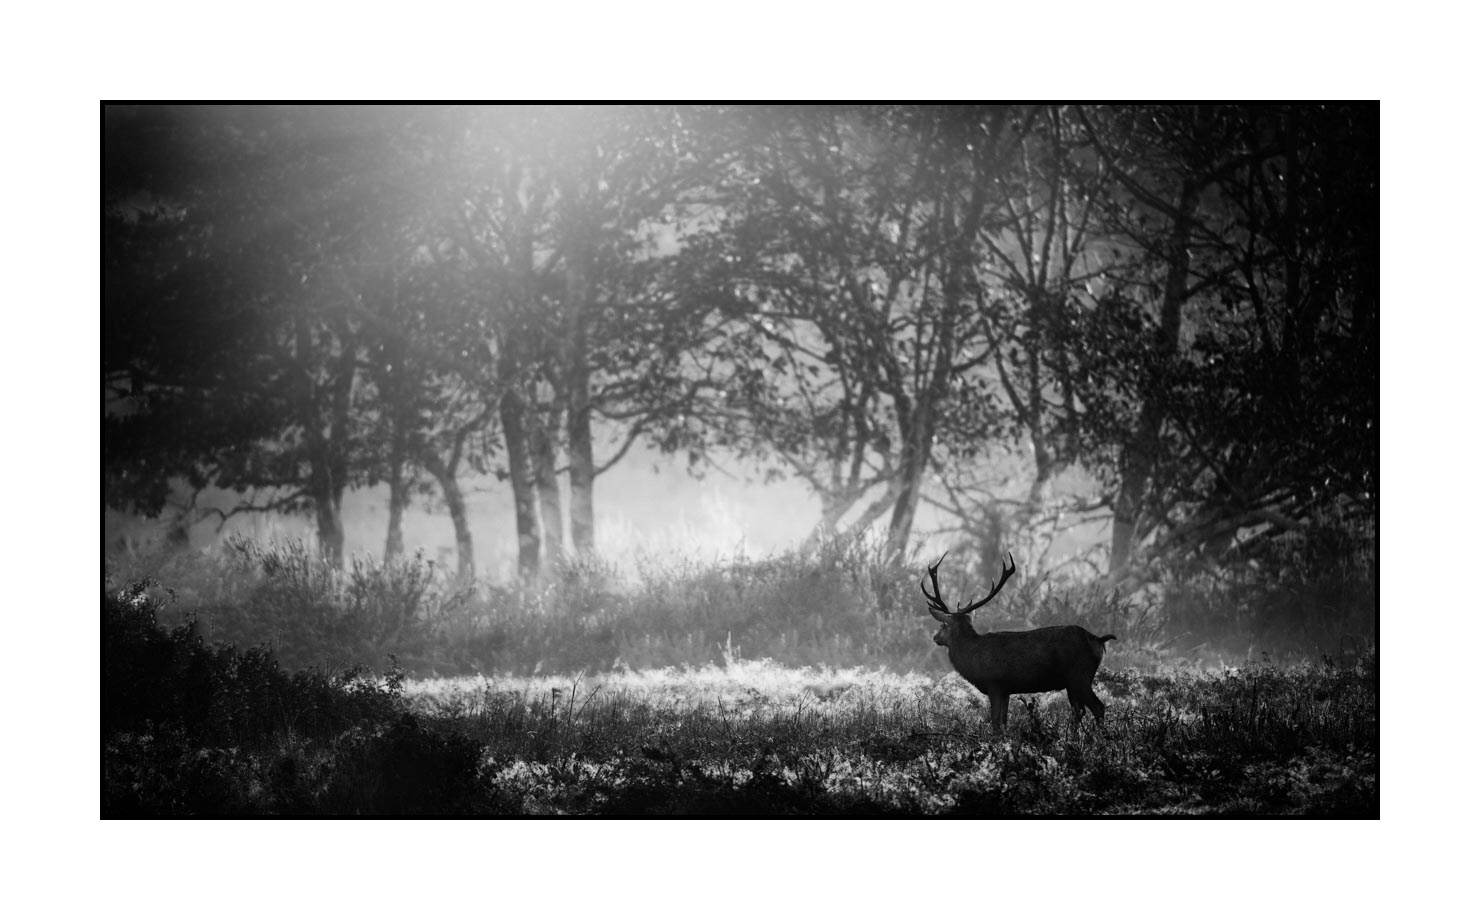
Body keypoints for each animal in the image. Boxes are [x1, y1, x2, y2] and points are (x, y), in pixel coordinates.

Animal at [922, 552, 1116, 731]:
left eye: (943, 625)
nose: (935, 637)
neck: (974, 659)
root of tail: (1098, 640)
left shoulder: (995, 684)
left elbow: (995, 723)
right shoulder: (1006, 690)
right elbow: (1004, 722)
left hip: (1080, 676)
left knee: (1097, 707)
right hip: (1072, 682)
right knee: (1079, 710)